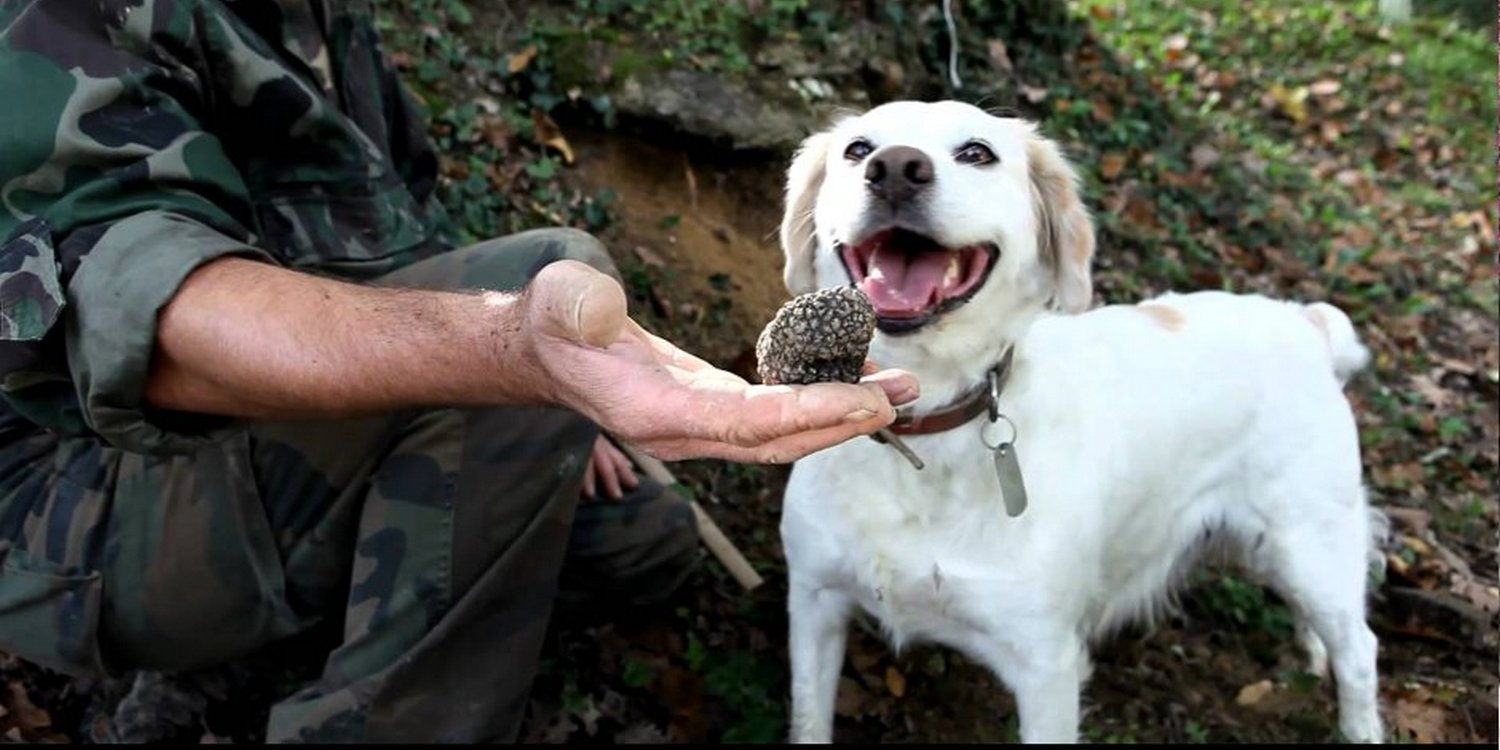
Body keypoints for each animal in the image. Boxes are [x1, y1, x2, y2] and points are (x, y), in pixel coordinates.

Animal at [774, 101, 1392, 744]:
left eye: (977, 152)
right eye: (858, 149)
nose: (895, 169)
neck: (927, 422)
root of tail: (1306, 322)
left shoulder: (1046, 665)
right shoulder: (813, 602)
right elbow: (809, 719)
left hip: (1310, 545)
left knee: (1359, 651)